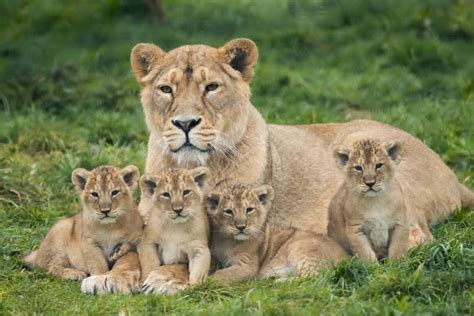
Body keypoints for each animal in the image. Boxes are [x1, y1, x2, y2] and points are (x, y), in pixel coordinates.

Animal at [130, 37, 474, 284]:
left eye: (211, 87)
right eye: (165, 89)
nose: (185, 123)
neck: (192, 166)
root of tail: (451, 174)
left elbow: (193, 260)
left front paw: (162, 278)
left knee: (415, 237)